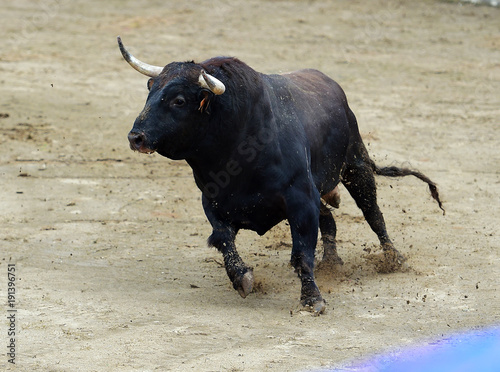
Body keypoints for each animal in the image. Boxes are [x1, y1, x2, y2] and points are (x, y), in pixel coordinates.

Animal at [118, 37, 446, 314]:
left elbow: (301, 253)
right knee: (330, 219)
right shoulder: (214, 201)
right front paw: (242, 278)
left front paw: (312, 300)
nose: (136, 137)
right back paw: (332, 263)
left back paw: (393, 259)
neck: (237, 140)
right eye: (150, 90)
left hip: (356, 167)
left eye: (179, 100)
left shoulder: (300, 199)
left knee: (373, 214)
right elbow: (224, 240)